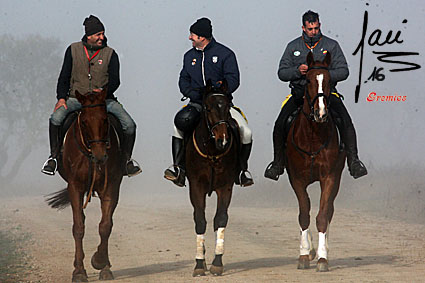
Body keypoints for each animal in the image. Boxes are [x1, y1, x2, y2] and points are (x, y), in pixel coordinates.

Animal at [47, 90, 126, 282]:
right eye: (83, 122)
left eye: (105, 120)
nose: (100, 156)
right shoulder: (75, 187)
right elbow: (78, 228)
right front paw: (79, 272)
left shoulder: (111, 186)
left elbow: (105, 226)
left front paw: (101, 263)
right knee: (80, 221)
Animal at [186, 80, 238, 278]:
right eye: (208, 108)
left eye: (228, 107)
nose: (222, 140)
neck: (212, 152)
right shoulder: (196, 186)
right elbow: (200, 220)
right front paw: (199, 264)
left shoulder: (225, 187)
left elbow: (220, 219)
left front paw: (217, 263)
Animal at [284, 52, 344, 274]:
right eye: (308, 80)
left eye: (328, 80)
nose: (321, 113)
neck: (312, 136)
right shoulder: (297, 179)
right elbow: (304, 214)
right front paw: (304, 254)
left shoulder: (330, 178)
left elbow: (322, 216)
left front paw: (322, 258)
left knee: (329, 211)